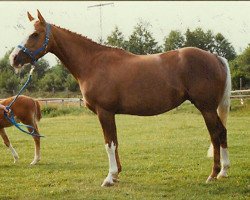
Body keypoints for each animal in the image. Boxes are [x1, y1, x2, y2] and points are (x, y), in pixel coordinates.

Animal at [8, 10, 231, 186]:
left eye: (35, 34)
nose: (13, 59)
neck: (92, 63)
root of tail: (214, 56)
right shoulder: (110, 113)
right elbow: (115, 141)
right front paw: (116, 176)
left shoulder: (104, 112)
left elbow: (109, 143)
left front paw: (109, 177)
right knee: (222, 132)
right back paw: (223, 172)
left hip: (206, 108)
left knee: (216, 134)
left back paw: (213, 174)